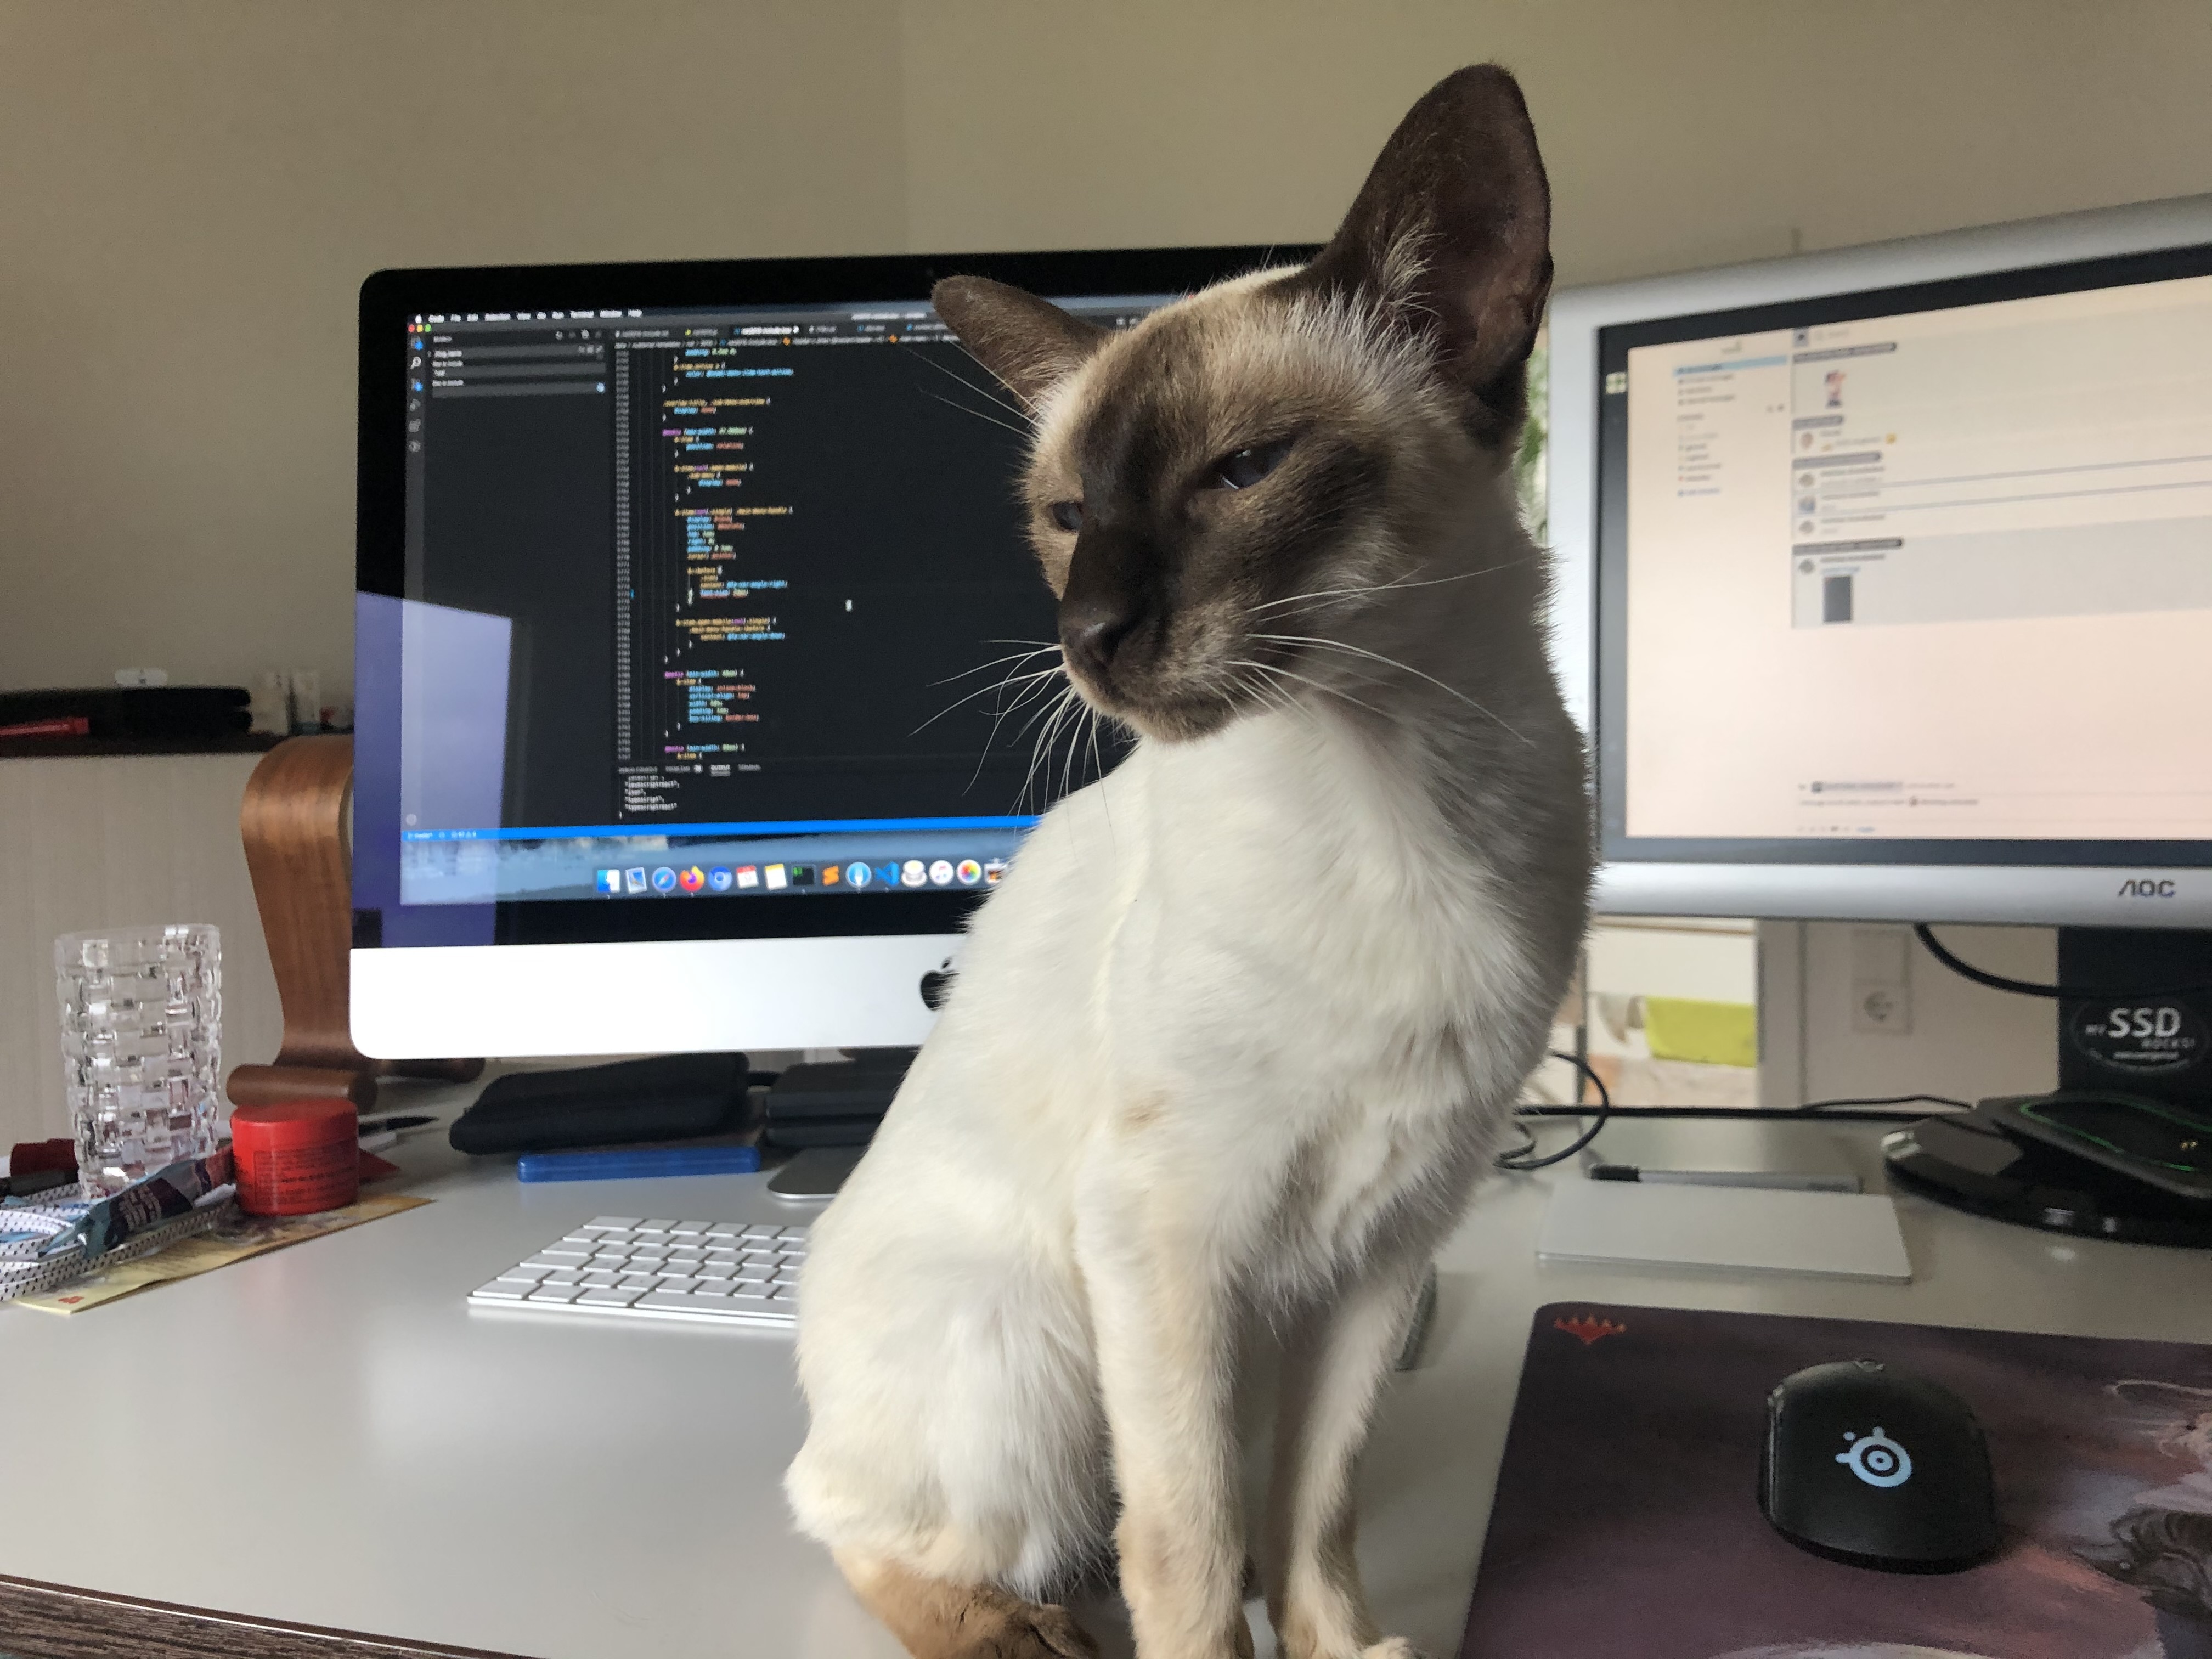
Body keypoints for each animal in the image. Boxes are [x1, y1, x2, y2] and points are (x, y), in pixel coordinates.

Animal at [792, 61, 1593, 1659]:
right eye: (1065, 517)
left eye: (1244, 472)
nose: (1086, 638)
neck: (1392, 789)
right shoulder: (1172, 1245)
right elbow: (1197, 1550)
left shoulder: (1385, 1247)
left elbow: (1312, 1524)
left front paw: (1341, 1650)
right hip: (1040, 1354)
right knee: (858, 1517)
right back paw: (1022, 1628)